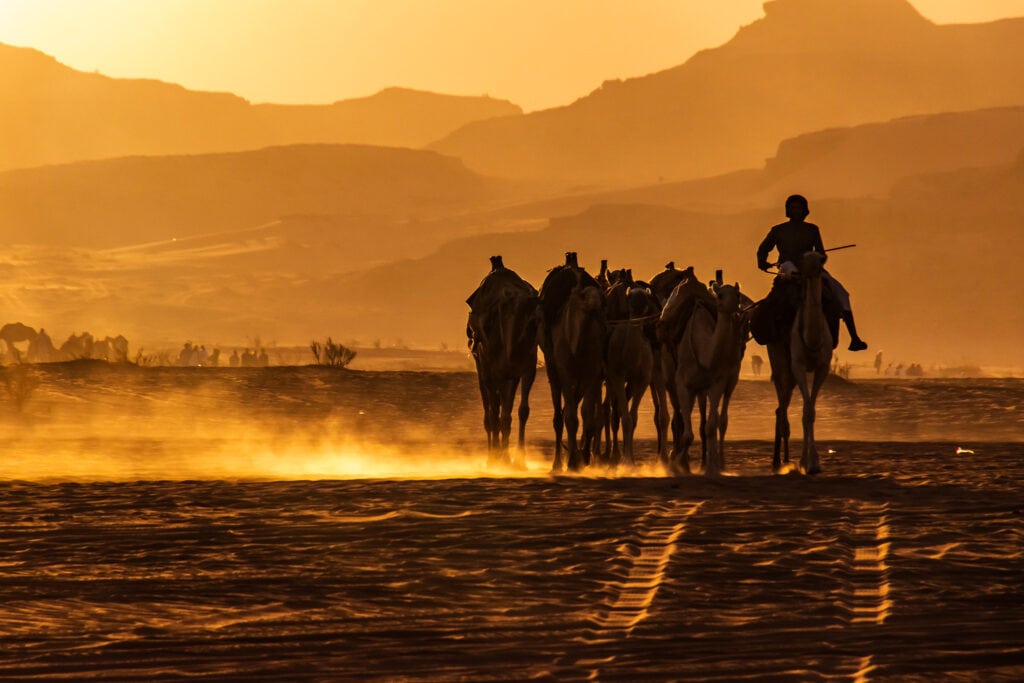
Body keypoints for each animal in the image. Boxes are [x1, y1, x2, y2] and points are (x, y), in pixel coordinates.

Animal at [466, 253, 540, 466]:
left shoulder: (524, 369)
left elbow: (519, 411)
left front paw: (517, 459)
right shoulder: (493, 369)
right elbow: (495, 414)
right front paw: (496, 458)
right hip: (483, 366)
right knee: (489, 411)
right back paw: (492, 455)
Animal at [540, 253, 602, 473]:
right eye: (586, 298)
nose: (597, 307)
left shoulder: (592, 370)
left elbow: (587, 415)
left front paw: (583, 457)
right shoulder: (565, 370)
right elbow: (570, 416)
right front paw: (573, 462)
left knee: (573, 407)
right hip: (553, 366)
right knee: (560, 414)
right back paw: (558, 463)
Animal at [663, 280, 745, 479]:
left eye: (737, 294)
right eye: (720, 295)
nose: (736, 309)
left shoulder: (715, 383)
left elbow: (710, 426)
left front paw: (711, 468)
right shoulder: (682, 383)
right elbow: (688, 434)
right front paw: (677, 463)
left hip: (712, 386)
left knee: (717, 420)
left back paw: (717, 463)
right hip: (670, 380)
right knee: (678, 416)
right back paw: (675, 456)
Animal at [770, 250, 831, 475]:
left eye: (820, 260)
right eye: (803, 258)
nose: (814, 269)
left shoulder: (823, 367)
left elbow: (810, 411)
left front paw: (813, 462)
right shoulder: (798, 365)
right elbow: (805, 412)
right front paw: (807, 462)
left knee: (782, 408)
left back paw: (785, 460)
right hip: (780, 362)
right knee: (781, 406)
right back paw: (779, 461)